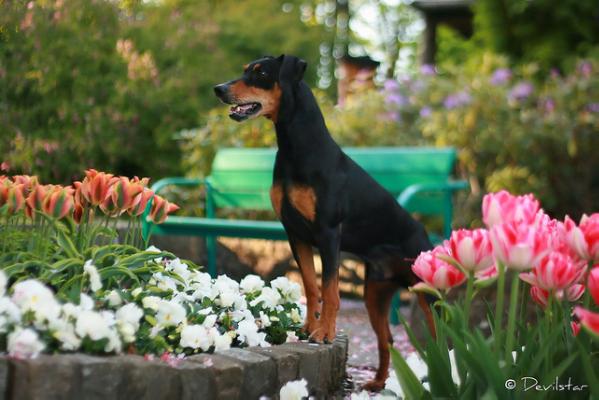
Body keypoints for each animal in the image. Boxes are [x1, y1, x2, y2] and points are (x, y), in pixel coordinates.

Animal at [216, 54, 436, 390]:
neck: (296, 148)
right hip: (375, 293)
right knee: (386, 338)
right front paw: (309, 328)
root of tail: (423, 232)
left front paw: (325, 333)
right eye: (244, 71)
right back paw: (377, 383)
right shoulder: (296, 234)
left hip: (427, 290)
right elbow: (310, 284)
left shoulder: (329, 233)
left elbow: (330, 288)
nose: (219, 89)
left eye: (261, 73)